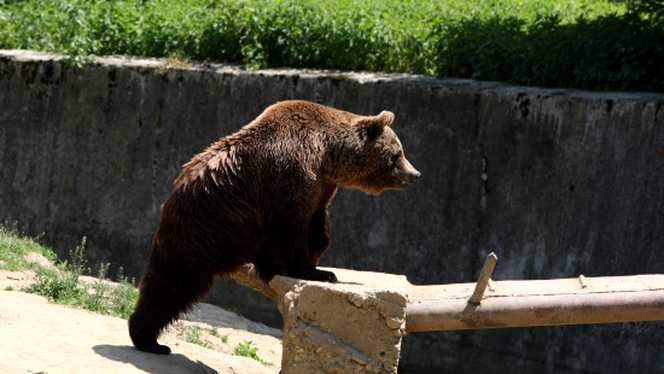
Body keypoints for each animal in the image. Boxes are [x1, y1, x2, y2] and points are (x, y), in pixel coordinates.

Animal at [128, 99, 420, 354]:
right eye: (397, 153)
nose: (414, 174)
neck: (327, 156)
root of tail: (172, 194)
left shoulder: (321, 188)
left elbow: (318, 229)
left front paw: (312, 261)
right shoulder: (290, 174)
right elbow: (293, 228)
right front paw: (318, 272)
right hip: (205, 228)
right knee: (175, 282)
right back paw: (148, 339)